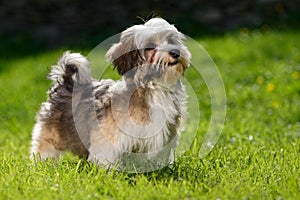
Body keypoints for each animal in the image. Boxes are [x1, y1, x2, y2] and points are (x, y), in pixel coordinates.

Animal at [29, 17, 190, 170]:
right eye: (150, 46)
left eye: (171, 41)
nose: (175, 52)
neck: (154, 88)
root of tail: (67, 83)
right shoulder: (109, 136)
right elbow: (106, 156)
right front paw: (107, 173)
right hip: (51, 134)